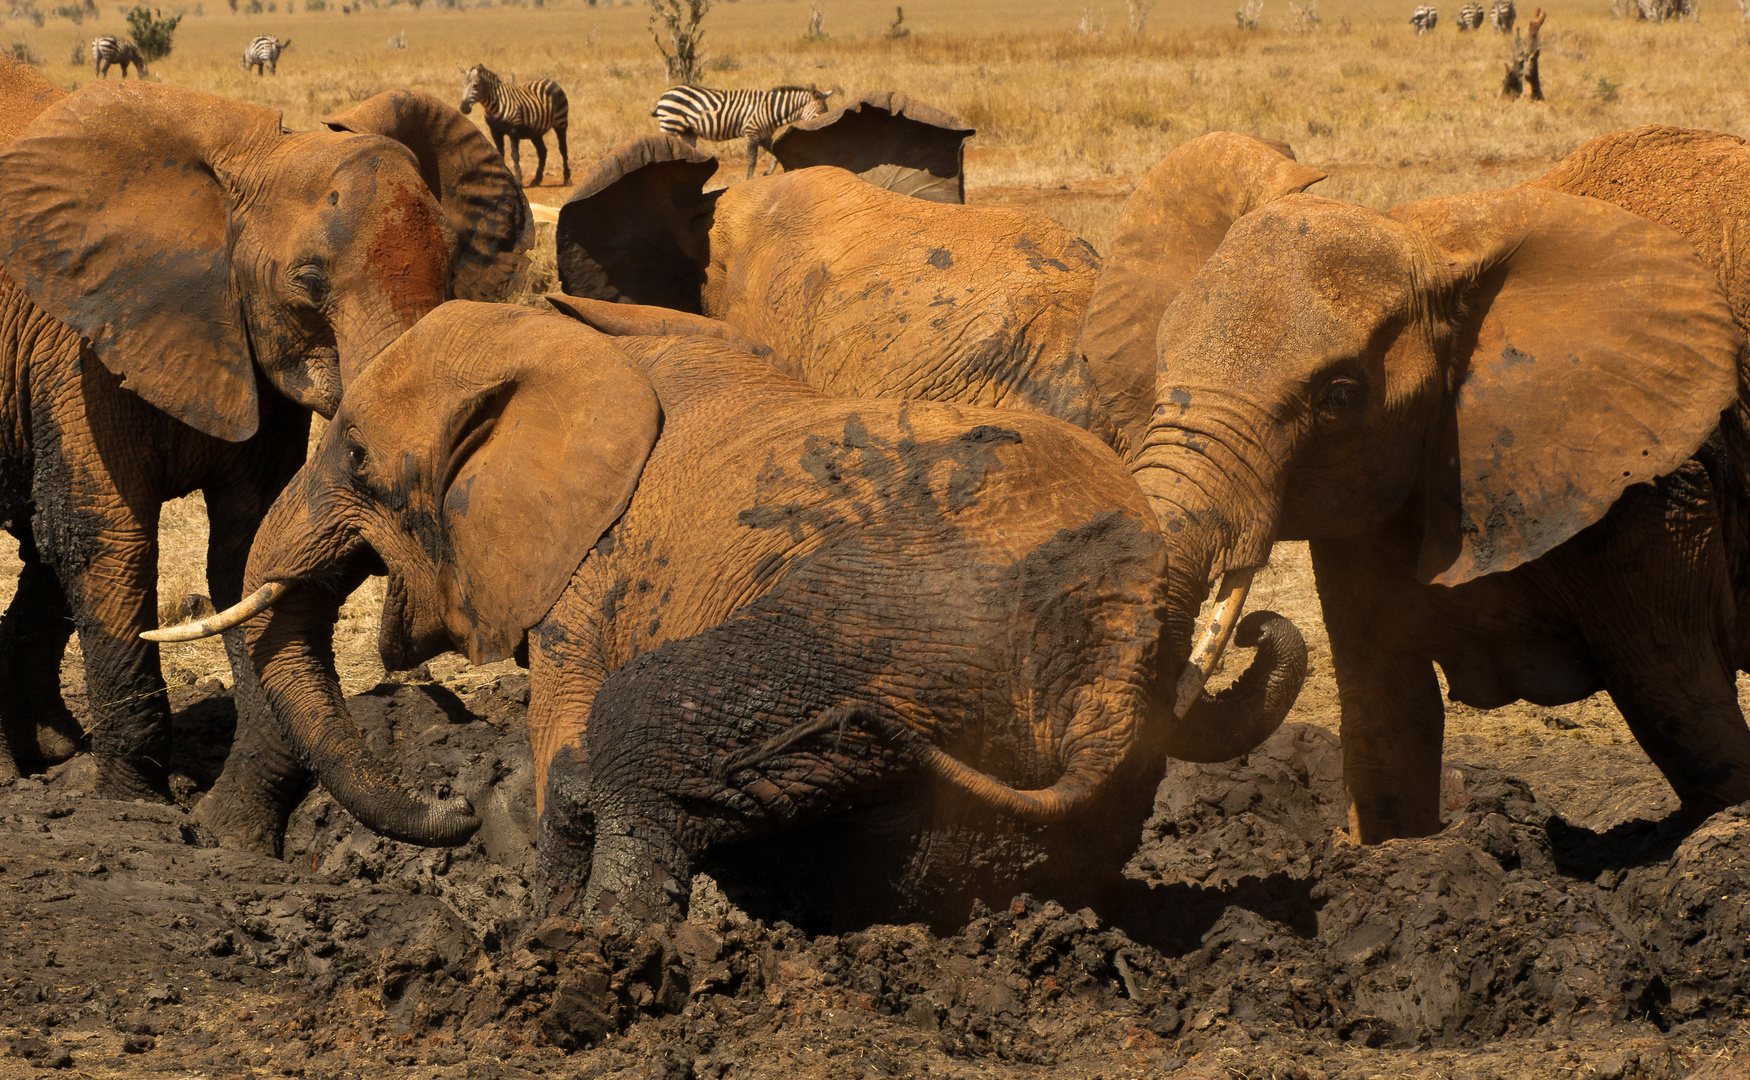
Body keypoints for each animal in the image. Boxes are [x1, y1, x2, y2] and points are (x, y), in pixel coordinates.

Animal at [0, 73, 528, 833]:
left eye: (454, 262)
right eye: (309, 283)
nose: (455, 801)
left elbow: (245, 553)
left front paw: (235, 834)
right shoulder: (80, 345)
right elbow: (107, 539)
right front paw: (138, 814)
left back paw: (48, 757)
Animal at [157, 299, 1309, 924]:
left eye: (356, 460)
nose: (450, 810)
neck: (556, 337)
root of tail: (1114, 675)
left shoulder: (589, 580)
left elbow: (572, 735)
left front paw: (543, 927)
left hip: (889, 622)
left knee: (641, 727)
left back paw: (620, 948)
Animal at [654, 84, 836, 177]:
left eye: (826, 111)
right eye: (820, 112)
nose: (828, 127)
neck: (770, 110)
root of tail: (666, 93)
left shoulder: (764, 136)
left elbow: (775, 153)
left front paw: (768, 172)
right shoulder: (751, 133)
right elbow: (751, 161)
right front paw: (749, 179)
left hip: (687, 131)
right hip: (670, 125)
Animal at [1120, 160, 1750, 843]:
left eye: (1338, 397)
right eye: (1158, 362)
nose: (1254, 629)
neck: (1440, 240)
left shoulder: (1654, 493)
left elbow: (1682, 707)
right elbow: (1387, 722)